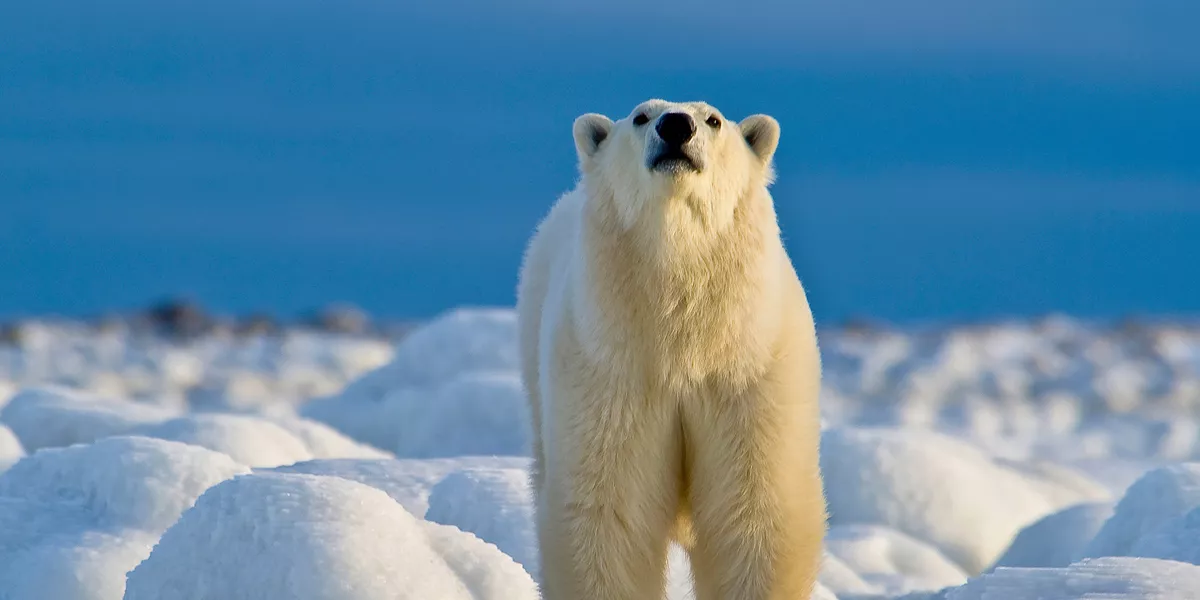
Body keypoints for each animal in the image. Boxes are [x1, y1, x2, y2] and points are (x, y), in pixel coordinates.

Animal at [516, 99, 826, 600]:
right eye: (641, 116)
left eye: (714, 119)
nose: (676, 125)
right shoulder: (612, 373)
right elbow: (609, 515)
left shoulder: (748, 372)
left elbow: (755, 515)